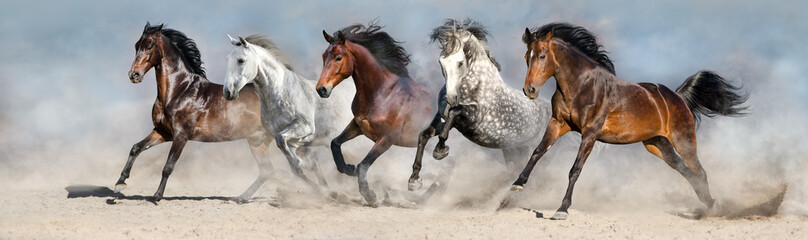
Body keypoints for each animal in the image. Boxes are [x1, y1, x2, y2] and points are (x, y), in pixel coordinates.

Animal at [115, 23, 272, 202]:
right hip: (257, 141)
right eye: (136, 46)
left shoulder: (181, 135)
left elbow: (168, 166)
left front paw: (157, 196)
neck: (180, 90)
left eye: (149, 46)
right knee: (266, 171)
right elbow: (136, 148)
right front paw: (120, 183)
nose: (134, 75)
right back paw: (240, 198)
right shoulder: (163, 132)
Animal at [223, 34, 352, 200]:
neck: (280, 91)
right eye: (227, 59)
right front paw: (329, 192)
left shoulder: (304, 127)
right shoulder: (292, 138)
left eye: (241, 60)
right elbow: (295, 166)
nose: (228, 92)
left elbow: (291, 153)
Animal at [318, 23, 442, 206]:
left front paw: (370, 196)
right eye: (324, 56)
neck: (382, 93)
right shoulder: (359, 125)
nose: (321, 89)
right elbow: (335, 143)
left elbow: (363, 165)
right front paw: (349, 168)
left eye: (338, 58)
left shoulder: (386, 139)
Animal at [516, 22, 748, 219]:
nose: (530, 90)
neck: (582, 86)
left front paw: (562, 209)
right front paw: (518, 184)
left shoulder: (590, 133)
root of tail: (677, 96)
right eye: (527, 56)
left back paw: (712, 209)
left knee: (699, 172)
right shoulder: (558, 123)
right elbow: (538, 151)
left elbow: (575, 170)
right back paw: (707, 203)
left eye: (542, 56)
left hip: (683, 140)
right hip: (657, 144)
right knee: (685, 170)